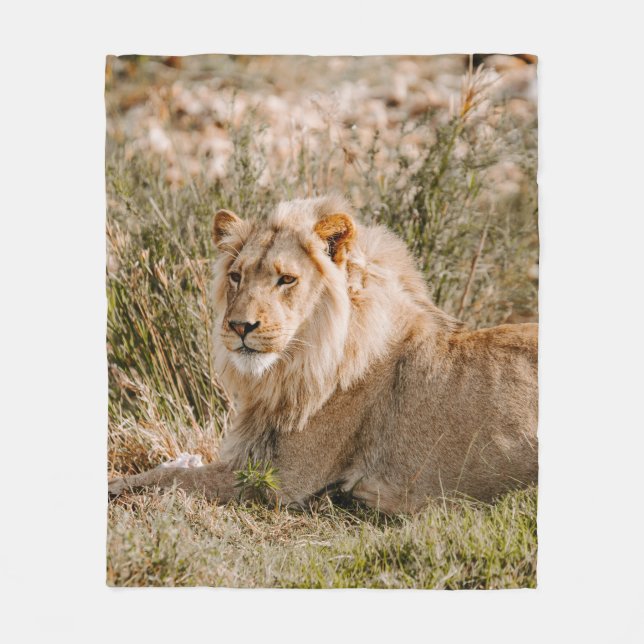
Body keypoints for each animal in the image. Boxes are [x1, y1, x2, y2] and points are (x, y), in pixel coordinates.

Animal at [108, 195, 538, 513]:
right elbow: (171, 470)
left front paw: (116, 485)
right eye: (236, 276)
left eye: (286, 279)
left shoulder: (279, 481)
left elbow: (169, 479)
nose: (240, 326)